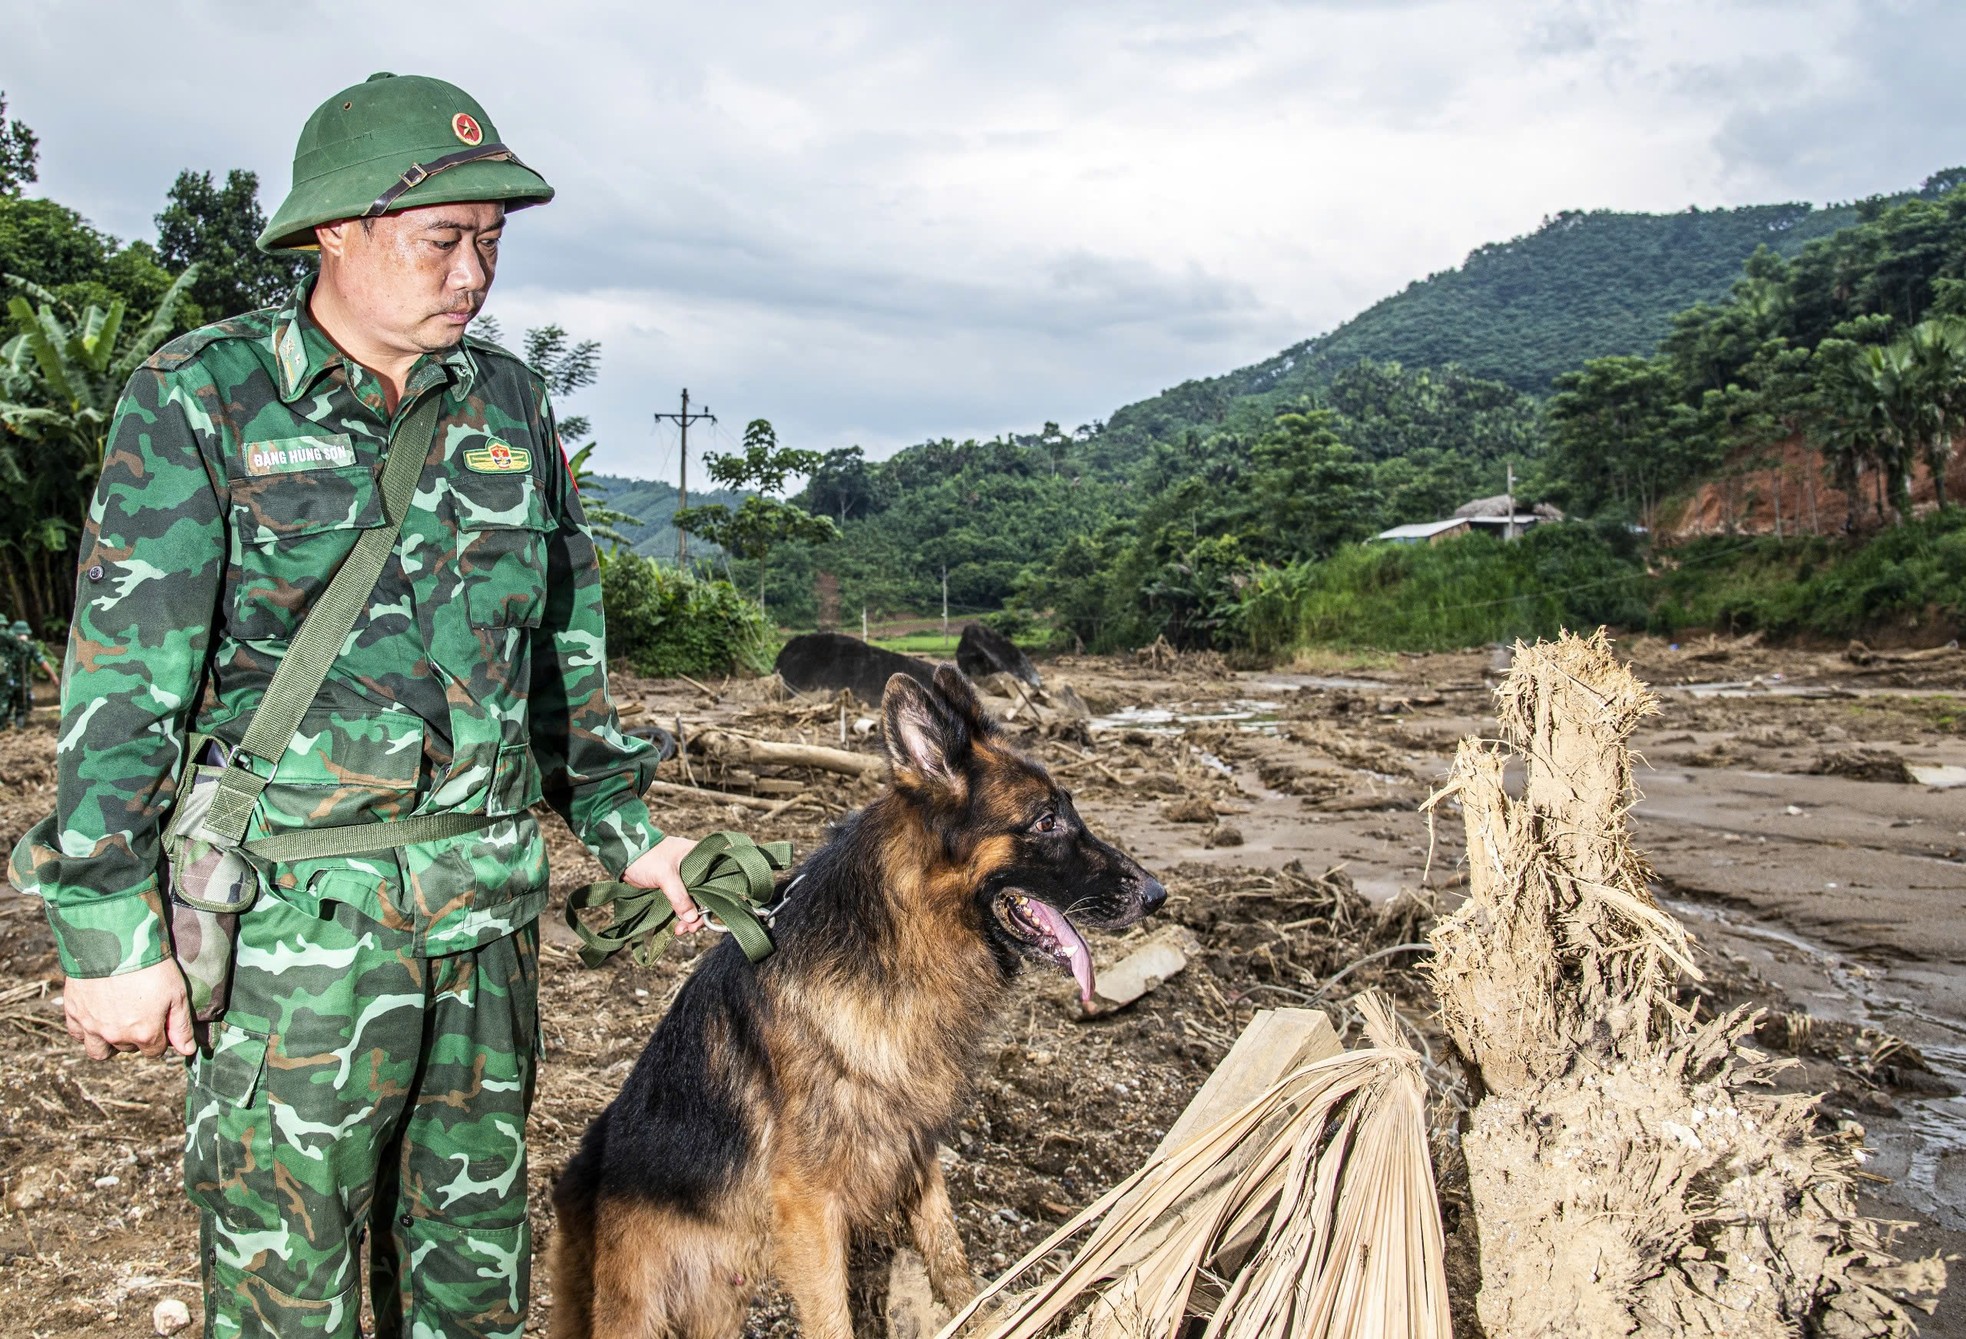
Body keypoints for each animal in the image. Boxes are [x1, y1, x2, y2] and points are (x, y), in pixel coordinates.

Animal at [550, 668, 1163, 1337]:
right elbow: (833, 1318)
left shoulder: (913, 1145)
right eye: (1047, 821)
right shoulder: (810, 1208)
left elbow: (949, 1252)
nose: (1157, 894)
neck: (898, 942)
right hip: (634, 1308)